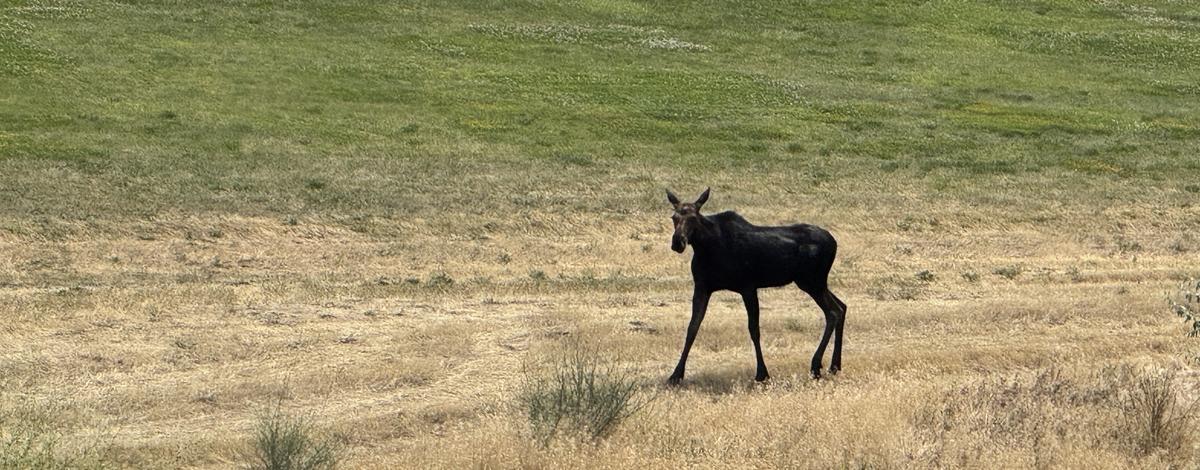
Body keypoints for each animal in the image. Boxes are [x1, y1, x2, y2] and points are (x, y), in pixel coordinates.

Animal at [665, 188, 846, 384]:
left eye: (693, 218)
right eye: (674, 217)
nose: (678, 242)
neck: (706, 248)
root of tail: (834, 242)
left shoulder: (748, 287)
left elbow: (754, 329)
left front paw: (762, 373)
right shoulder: (702, 287)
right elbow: (692, 327)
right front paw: (676, 374)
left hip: (812, 282)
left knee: (833, 311)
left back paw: (816, 365)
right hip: (815, 282)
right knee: (842, 306)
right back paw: (834, 365)